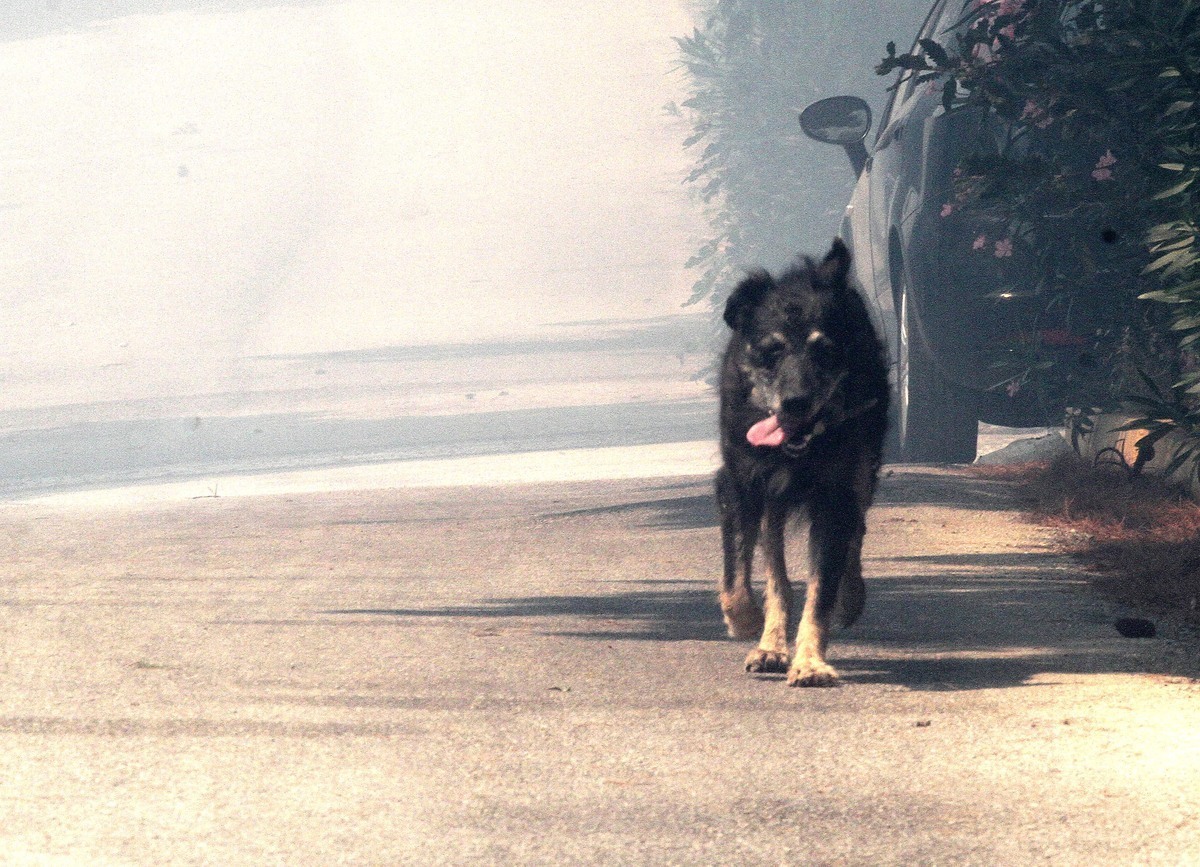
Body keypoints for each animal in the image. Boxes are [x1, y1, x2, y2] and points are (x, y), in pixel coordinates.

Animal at [710, 240, 892, 686]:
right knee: (776, 572)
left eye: (825, 351)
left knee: (856, 535)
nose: (795, 402)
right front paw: (745, 623)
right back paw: (770, 645)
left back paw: (850, 596)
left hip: (862, 473)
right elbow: (737, 578)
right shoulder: (739, 485)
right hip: (772, 503)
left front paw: (810, 663)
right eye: (771, 351)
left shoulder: (835, 497)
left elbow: (821, 590)